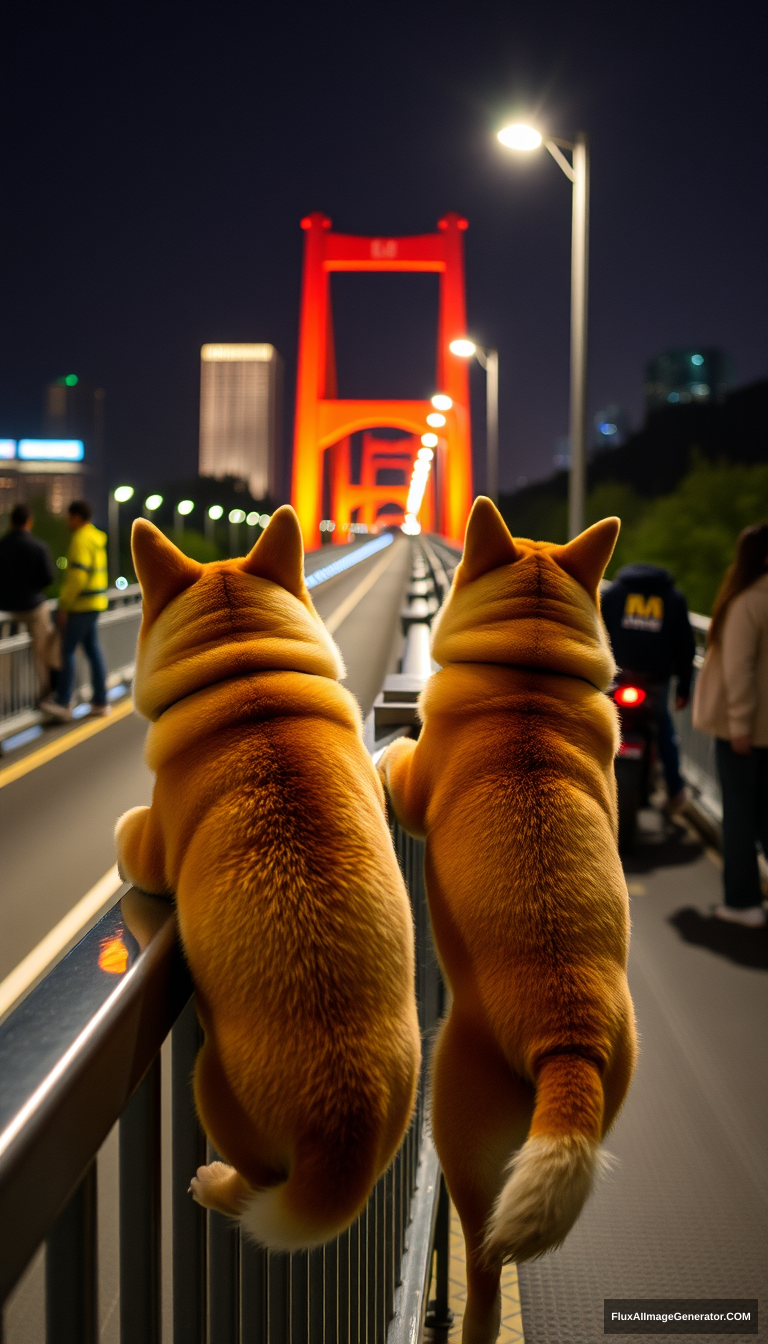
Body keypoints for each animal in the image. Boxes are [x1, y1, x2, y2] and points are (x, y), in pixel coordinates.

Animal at [115, 505, 419, 1247]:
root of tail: (343, 1137)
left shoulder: (153, 842)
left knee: (253, 1181)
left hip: (209, 1084)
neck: (247, 676)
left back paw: (218, 1186)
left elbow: (131, 841)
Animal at [379, 499, 637, 1338]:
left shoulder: (419, 786)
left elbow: (399, 773)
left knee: (485, 1258)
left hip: (459, 1114)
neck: (528, 669)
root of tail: (569, 1039)